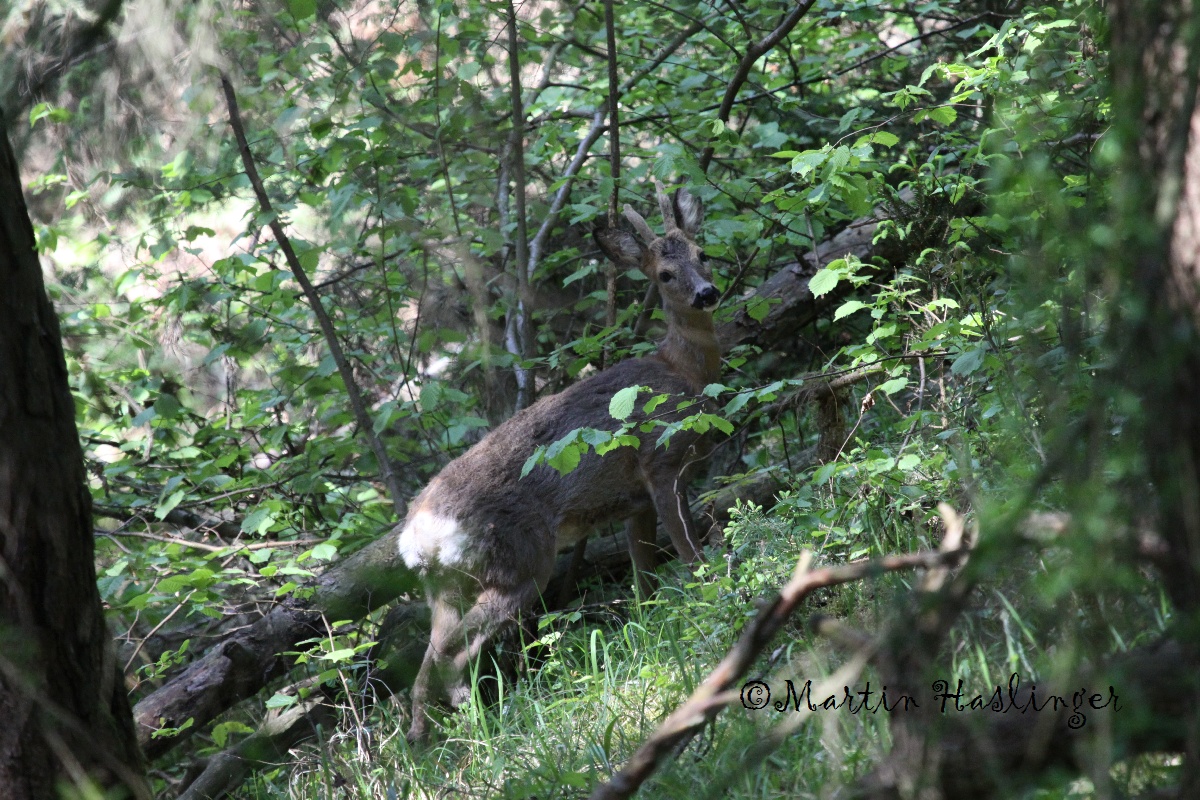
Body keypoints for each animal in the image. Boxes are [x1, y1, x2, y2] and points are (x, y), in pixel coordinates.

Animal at [397, 179, 721, 742]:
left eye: (702, 253)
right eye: (664, 273)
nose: (706, 292)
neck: (682, 370)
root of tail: (419, 536)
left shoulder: (633, 501)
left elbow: (644, 581)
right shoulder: (662, 463)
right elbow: (686, 552)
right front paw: (714, 591)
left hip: (448, 586)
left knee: (431, 658)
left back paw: (430, 735)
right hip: (520, 561)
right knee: (453, 654)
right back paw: (473, 724)